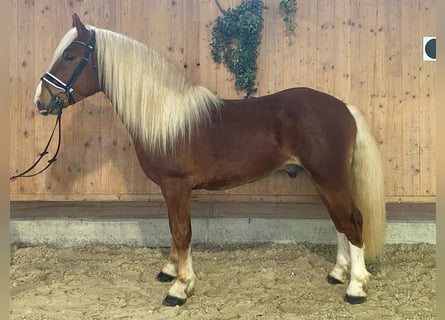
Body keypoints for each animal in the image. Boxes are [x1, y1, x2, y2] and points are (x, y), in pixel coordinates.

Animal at [33, 13, 386, 306]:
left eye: (69, 56)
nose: (41, 100)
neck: (165, 118)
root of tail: (343, 107)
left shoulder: (176, 186)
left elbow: (182, 232)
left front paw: (179, 287)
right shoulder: (169, 189)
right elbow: (173, 229)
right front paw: (170, 270)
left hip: (330, 179)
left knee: (353, 221)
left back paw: (356, 287)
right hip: (323, 181)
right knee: (340, 222)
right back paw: (338, 273)